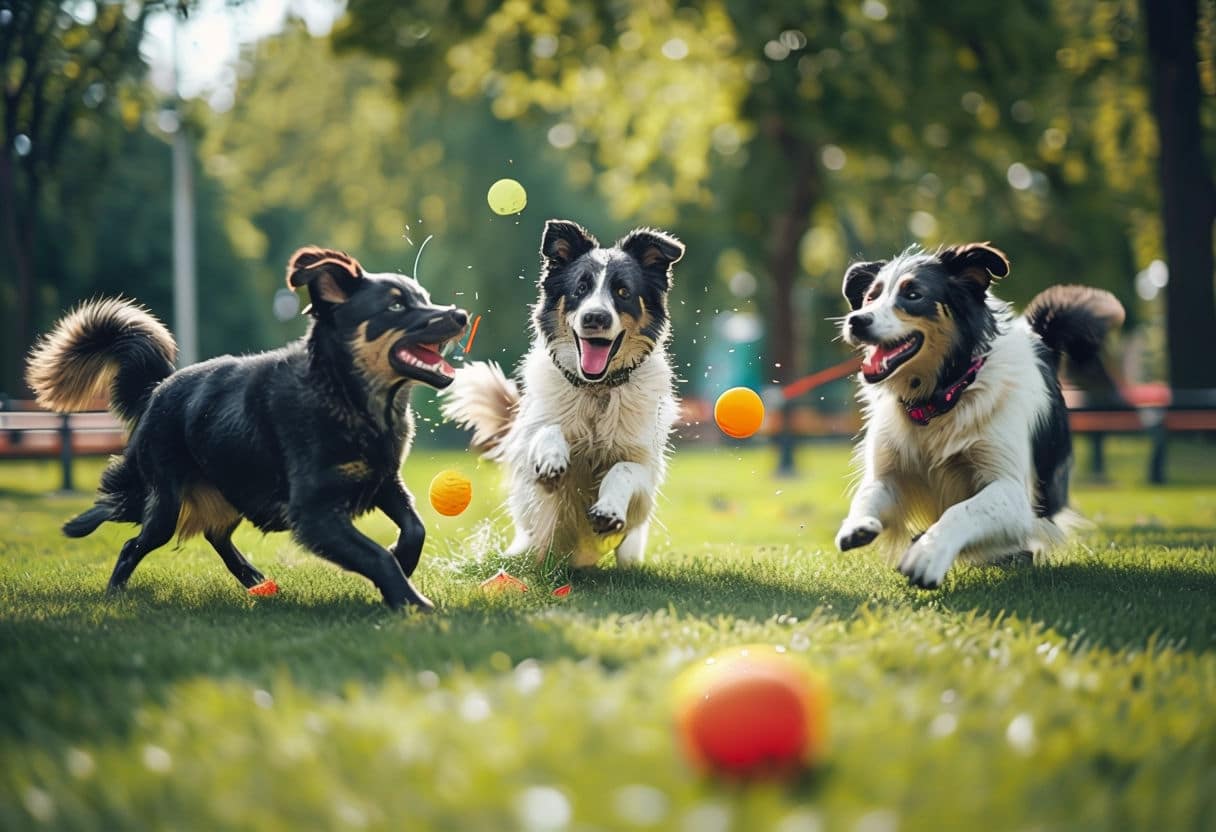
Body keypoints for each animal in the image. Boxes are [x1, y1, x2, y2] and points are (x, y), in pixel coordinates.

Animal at [29, 248, 464, 610]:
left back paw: (254, 579)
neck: (345, 396)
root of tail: (157, 388)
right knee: (131, 535)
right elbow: (375, 555)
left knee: (214, 535)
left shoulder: (382, 478)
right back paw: (109, 581)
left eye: (424, 298)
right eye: (396, 305)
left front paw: (404, 562)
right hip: (166, 499)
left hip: (231, 488)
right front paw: (412, 602)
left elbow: (415, 527)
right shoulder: (315, 512)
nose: (459, 315)